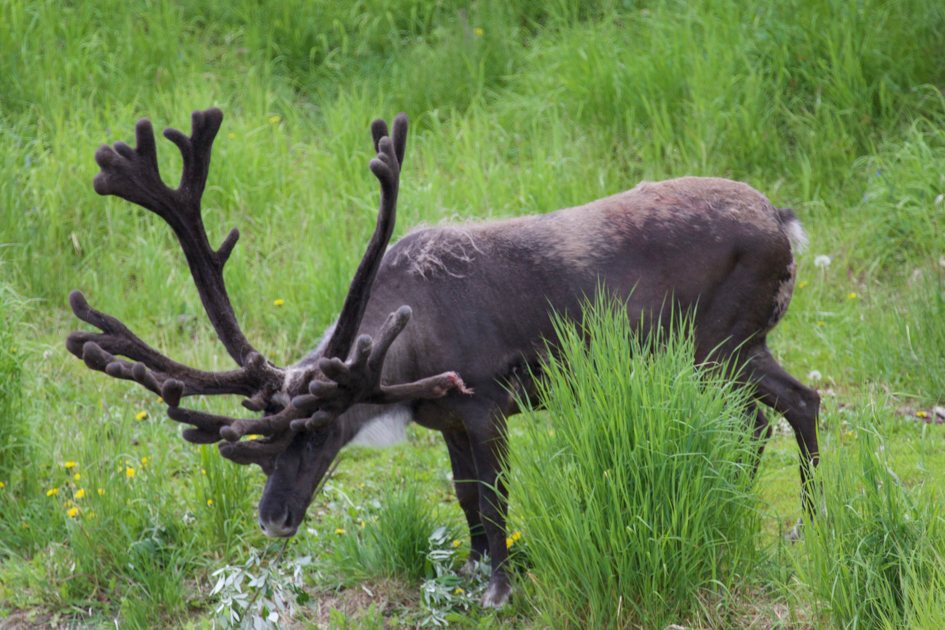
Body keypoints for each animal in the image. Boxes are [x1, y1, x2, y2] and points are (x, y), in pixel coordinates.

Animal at [67, 108, 820, 609]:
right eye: (266, 433)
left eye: (317, 427)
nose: (273, 518)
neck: (405, 351)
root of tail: (782, 221)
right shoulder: (448, 418)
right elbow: (464, 498)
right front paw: (471, 570)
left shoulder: (486, 404)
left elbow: (493, 497)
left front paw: (499, 590)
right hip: (727, 350)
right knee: (768, 412)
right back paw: (742, 503)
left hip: (722, 343)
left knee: (797, 401)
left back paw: (804, 524)